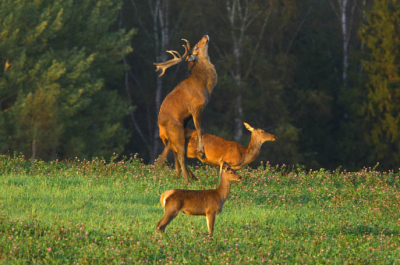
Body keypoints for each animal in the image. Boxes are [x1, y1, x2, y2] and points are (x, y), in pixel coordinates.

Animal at [155, 35, 219, 184]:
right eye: (196, 47)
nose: (205, 36)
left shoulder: (187, 118)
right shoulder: (196, 107)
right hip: (176, 131)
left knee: (175, 152)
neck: (204, 85)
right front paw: (202, 151)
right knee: (180, 155)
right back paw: (187, 181)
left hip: (174, 135)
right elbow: (200, 129)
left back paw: (184, 176)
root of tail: (161, 128)